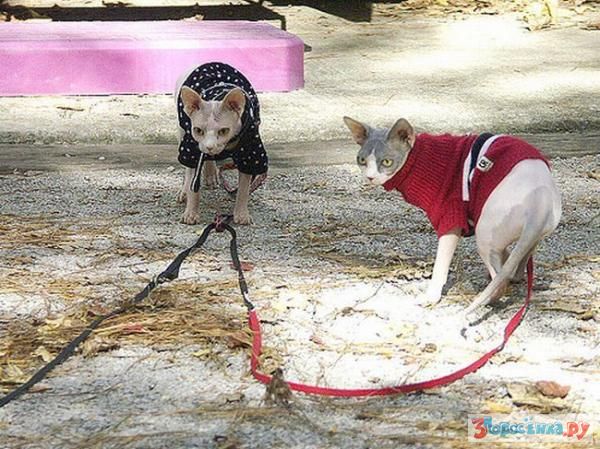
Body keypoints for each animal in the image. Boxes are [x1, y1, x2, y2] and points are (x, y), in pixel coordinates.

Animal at [175, 62, 268, 225]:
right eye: (198, 130)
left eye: (224, 131)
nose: (210, 147)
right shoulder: (192, 148)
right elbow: (193, 184)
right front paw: (191, 213)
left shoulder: (250, 153)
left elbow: (244, 188)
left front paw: (241, 214)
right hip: (183, 132)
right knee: (188, 168)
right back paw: (185, 190)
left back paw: (211, 175)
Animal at [343, 116, 562, 325]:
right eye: (361, 160)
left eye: (387, 162)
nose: (370, 177)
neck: (417, 159)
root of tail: (540, 200)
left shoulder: (450, 216)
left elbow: (441, 265)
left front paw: (431, 296)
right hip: (522, 232)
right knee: (518, 261)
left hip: (485, 230)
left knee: (501, 278)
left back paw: (487, 298)